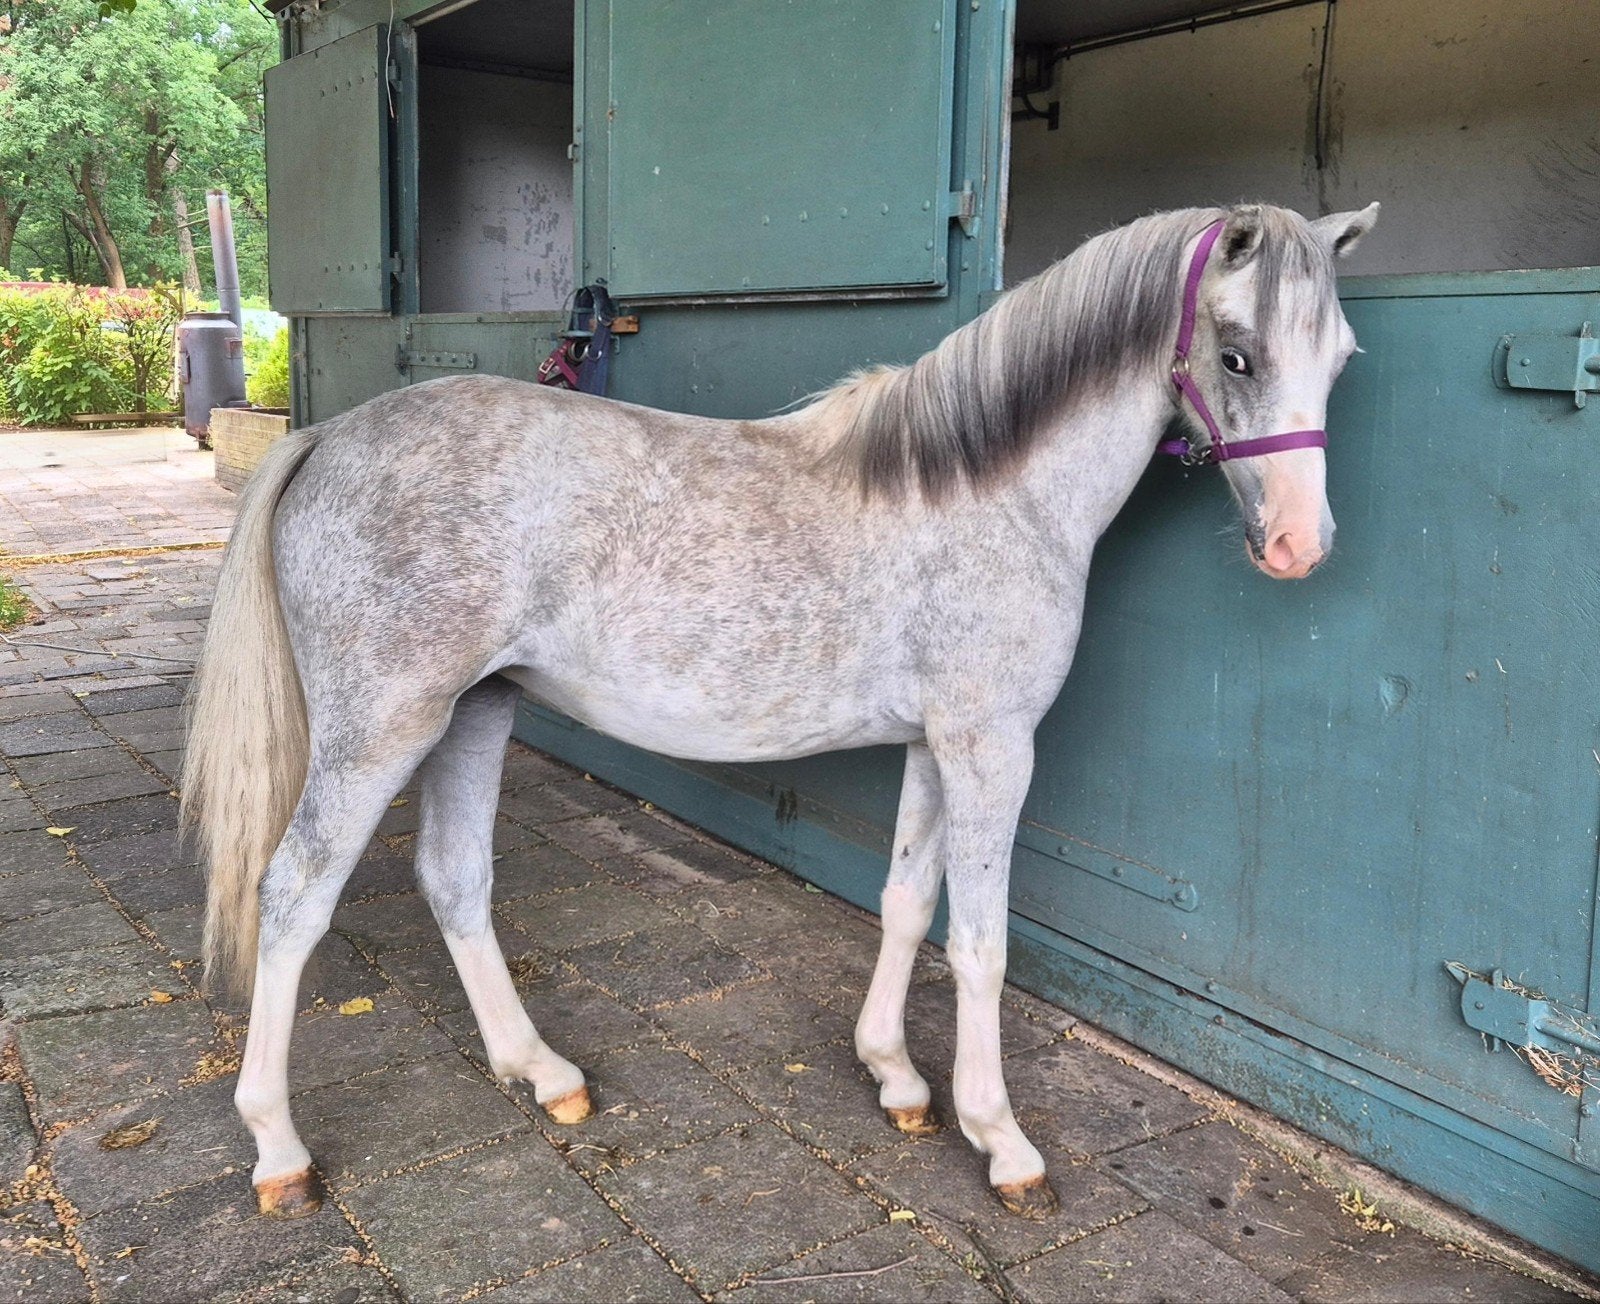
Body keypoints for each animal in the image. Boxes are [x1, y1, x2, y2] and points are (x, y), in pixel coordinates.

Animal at [183, 200, 1379, 1221]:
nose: (1298, 545)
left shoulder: (933, 747)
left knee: (454, 878)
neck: (989, 490)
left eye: (1339, 359)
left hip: (475, 713)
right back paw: (279, 1150)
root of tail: (328, 439)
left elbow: (907, 900)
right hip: (383, 729)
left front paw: (896, 1079)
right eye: (1238, 354)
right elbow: (981, 942)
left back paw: (543, 1071)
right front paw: (999, 1139)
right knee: (293, 894)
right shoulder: (991, 747)